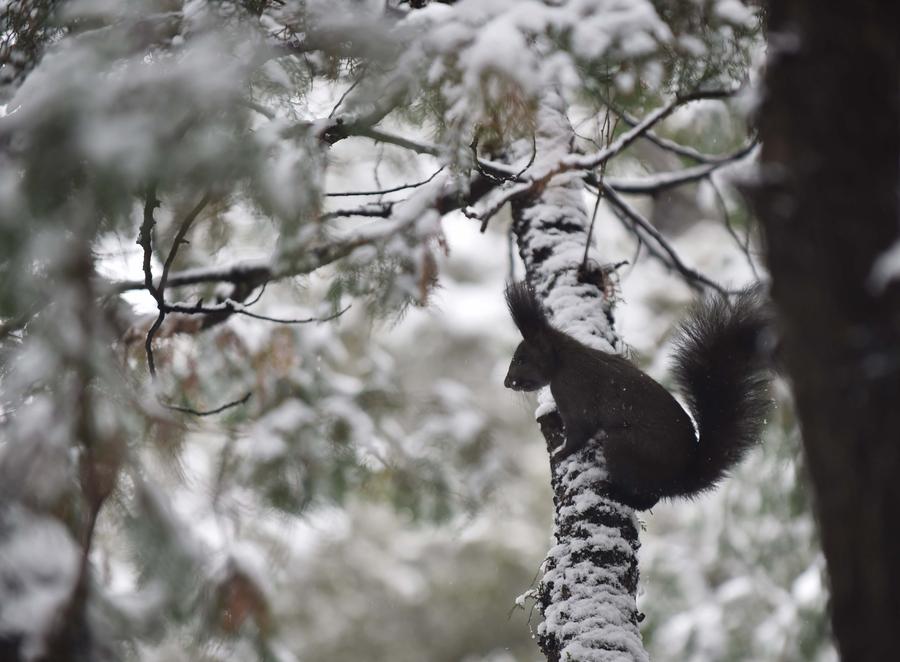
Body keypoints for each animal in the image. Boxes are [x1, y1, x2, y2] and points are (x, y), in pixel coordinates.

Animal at [502, 282, 768, 510]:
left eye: (521, 360)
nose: (507, 383)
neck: (564, 360)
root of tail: (681, 478)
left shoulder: (574, 393)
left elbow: (580, 431)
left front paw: (561, 453)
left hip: (625, 448)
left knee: (648, 498)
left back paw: (616, 493)